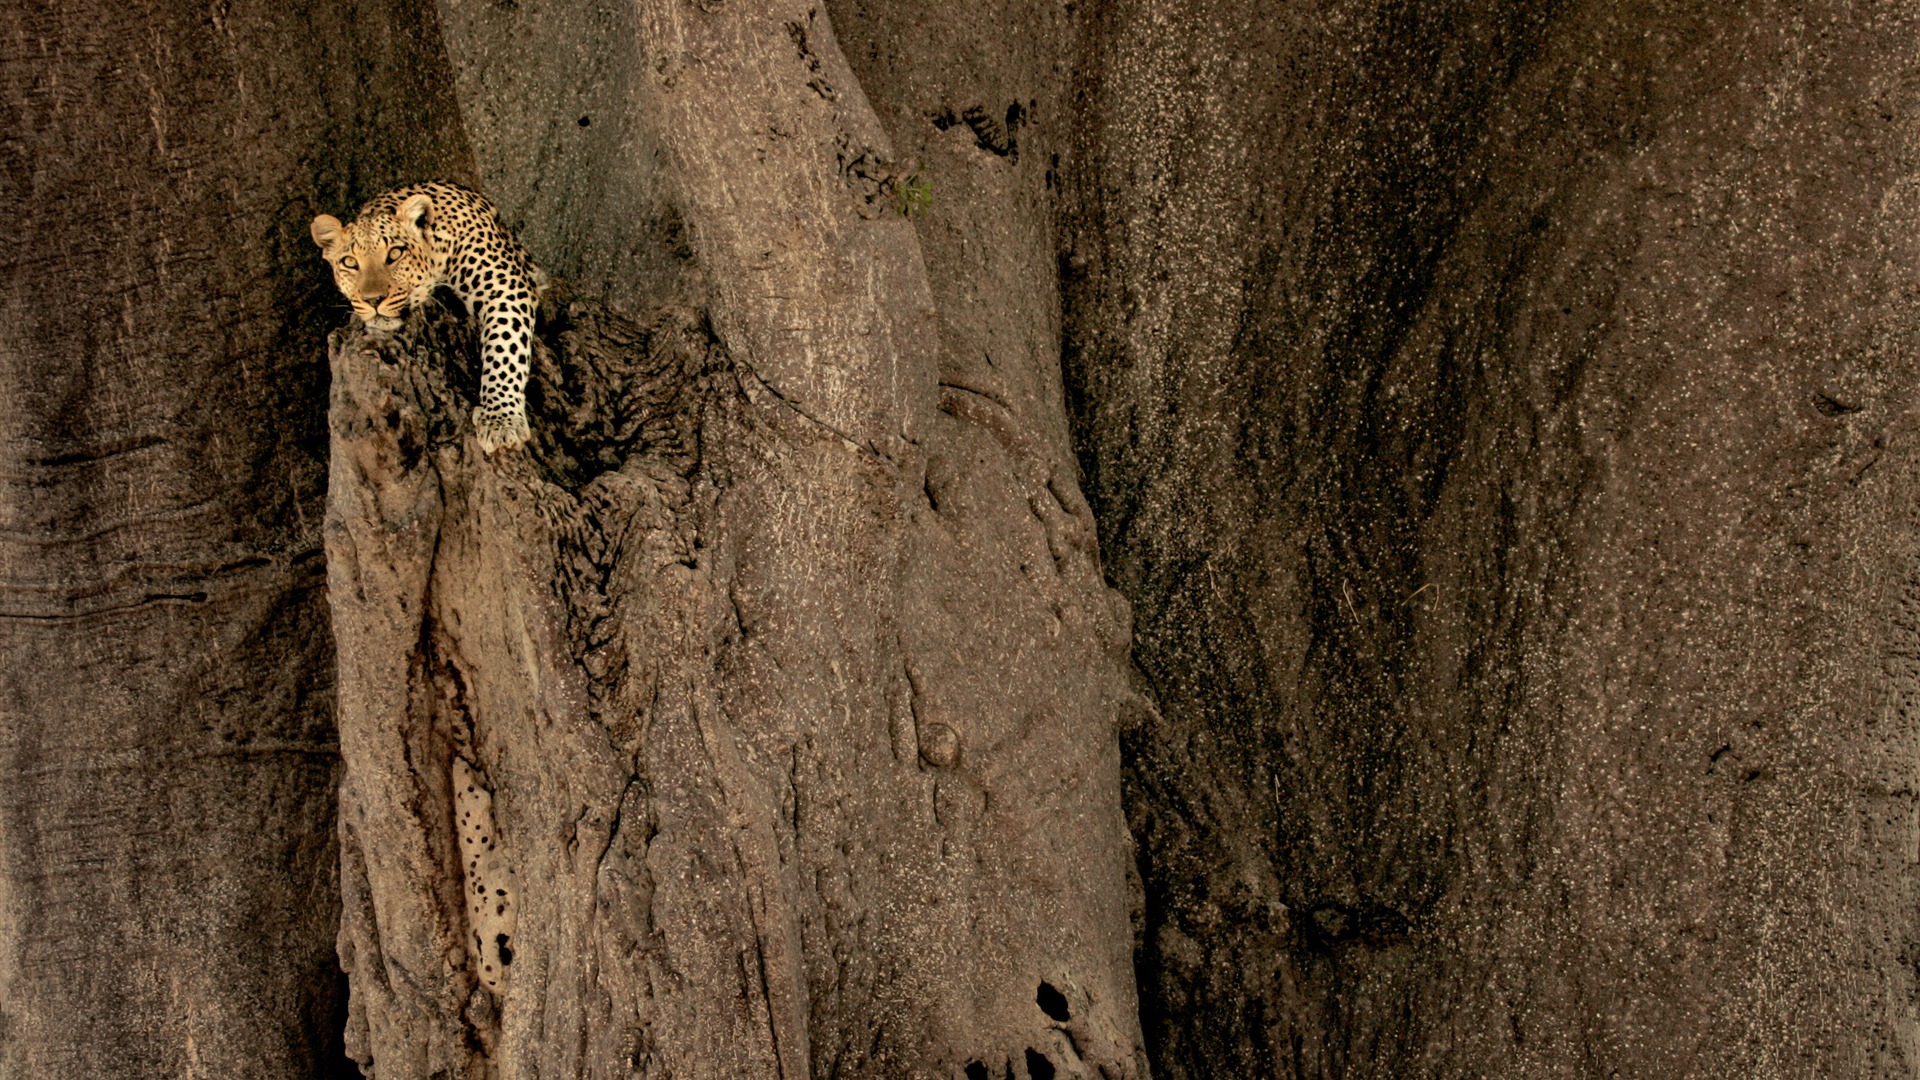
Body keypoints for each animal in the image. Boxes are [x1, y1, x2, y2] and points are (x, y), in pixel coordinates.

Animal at [311, 180, 541, 449]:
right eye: (350, 262)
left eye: (395, 254)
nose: (373, 299)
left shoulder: (506, 288)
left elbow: (505, 351)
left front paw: (501, 421)